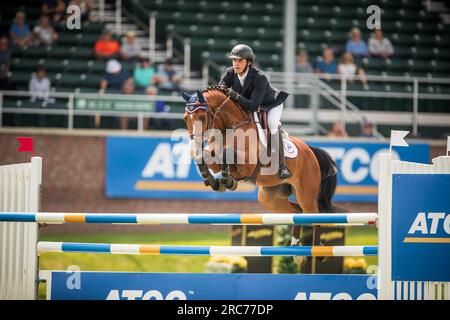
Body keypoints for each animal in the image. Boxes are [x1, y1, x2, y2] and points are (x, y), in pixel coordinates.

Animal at [181, 86, 340, 264]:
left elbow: (226, 154)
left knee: (314, 216)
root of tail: (310, 151)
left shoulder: (247, 165)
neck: (229, 127)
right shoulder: (215, 157)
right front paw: (215, 181)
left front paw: (227, 181)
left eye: (202, 117)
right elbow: (206, 157)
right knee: (298, 213)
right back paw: (297, 251)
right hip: (271, 199)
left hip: (306, 195)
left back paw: (318, 251)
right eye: (185, 118)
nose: (194, 145)